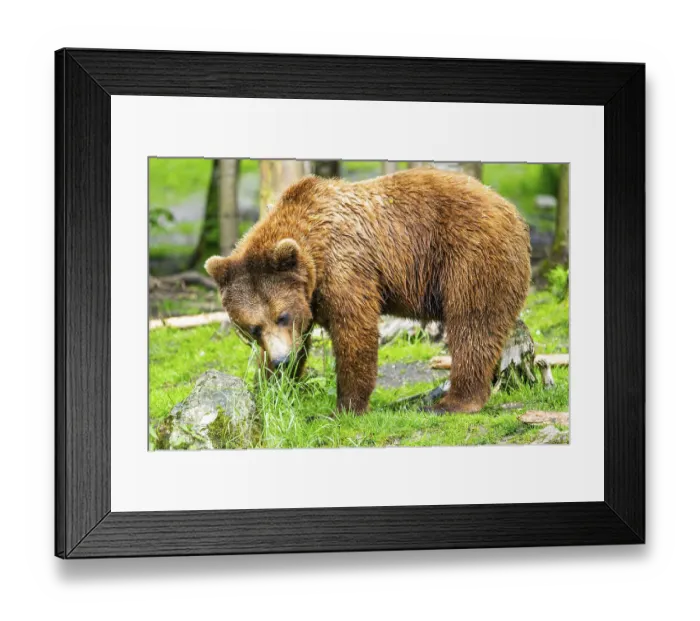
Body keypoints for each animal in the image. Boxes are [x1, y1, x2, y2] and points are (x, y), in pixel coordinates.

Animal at [205, 168, 531, 414]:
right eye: (253, 327)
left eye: (282, 316)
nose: (282, 360)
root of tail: (510, 208)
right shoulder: (310, 296)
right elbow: (298, 342)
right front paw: (272, 388)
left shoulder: (345, 266)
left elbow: (354, 330)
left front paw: (345, 407)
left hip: (470, 254)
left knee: (473, 323)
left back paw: (454, 402)